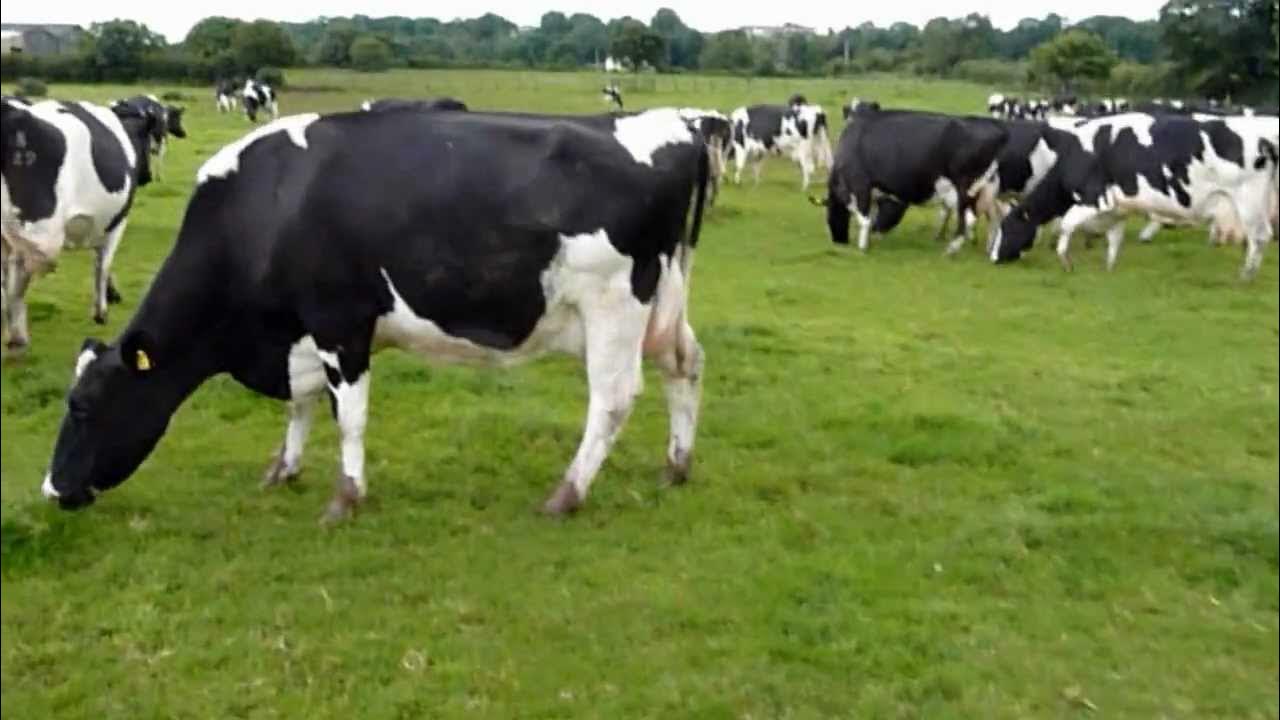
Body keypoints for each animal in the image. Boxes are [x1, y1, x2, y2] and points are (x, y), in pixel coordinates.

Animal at [1, 98, 160, 351]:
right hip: (39, 236)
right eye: (148, 138)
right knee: (17, 280)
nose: (146, 177)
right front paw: (102, 309)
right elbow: (103, 264)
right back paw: (17, 338)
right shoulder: (117, 223)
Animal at [40, 106, 716, 520]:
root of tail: (675, 124)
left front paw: (345, 498)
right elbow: (303, 404)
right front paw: (283, 468)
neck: (269, 205)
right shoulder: (301, 334)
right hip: (664, 303)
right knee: (685, 364)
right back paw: (676, 467)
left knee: (613, 398)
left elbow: (349, 416)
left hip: (613, 304)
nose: (52, 490)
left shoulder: (341, 323)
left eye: (84, 406)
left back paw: (566, 493)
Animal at [819, 105, 1008, 253]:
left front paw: (862, 247)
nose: (838, 241)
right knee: (993, 218)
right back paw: (989, 249)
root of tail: (997, 132)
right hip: (986, 187)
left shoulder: (860, 183)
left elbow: (863, 217)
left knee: (968, 219)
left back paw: (952, 249)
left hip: (963, 188)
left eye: (829, 217)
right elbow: (871, 215)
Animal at [988, 110, 1280, 275]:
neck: (1080, 154)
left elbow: (1067, 224)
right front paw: (1108, 270)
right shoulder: (1118, 209)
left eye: (1008, 228)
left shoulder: (1095, 198)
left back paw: (1245, 276)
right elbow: (1114, 240)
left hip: (1249, 200)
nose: (993, 259)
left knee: (1260, 237)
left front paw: (1066, 262)